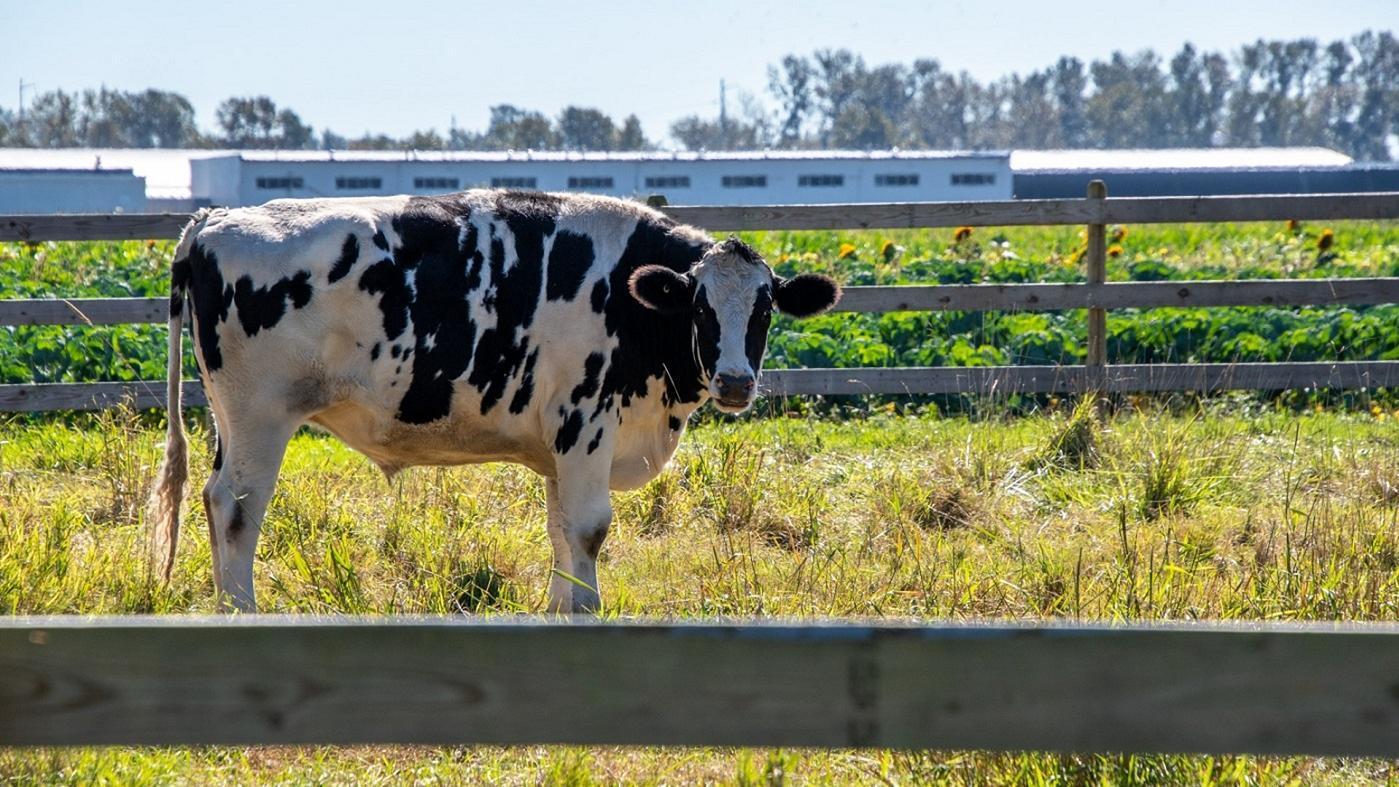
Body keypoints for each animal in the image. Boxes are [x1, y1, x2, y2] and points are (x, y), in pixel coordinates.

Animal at [146, 187, 833, 612]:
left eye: (765, 308)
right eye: (700, 307)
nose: (737, 382)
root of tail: (213, 219)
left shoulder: (561, 442)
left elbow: (561, 528)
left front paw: (559, 606)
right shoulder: (586, 420)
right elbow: (590, 527)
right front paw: (587, 608)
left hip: (229, 418)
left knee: (213, 501)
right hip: (261, 415)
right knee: (236, 508)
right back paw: (242, 609)